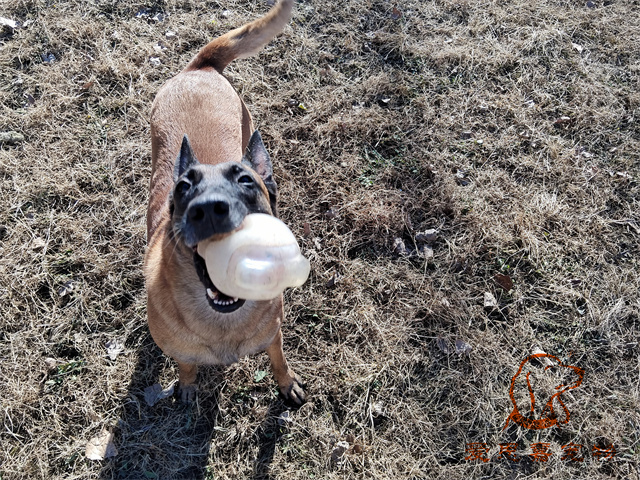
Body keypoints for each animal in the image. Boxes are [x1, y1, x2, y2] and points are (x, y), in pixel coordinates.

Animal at [144, 0, 305, 405]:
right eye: (184, 187)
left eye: (245, 180)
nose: (210, 210)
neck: (223, 319)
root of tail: (199, 68)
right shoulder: (180, 351)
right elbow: (186, 366)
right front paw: (187, 388)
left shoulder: (273, 334)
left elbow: (278, 360)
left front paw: (287, 384)